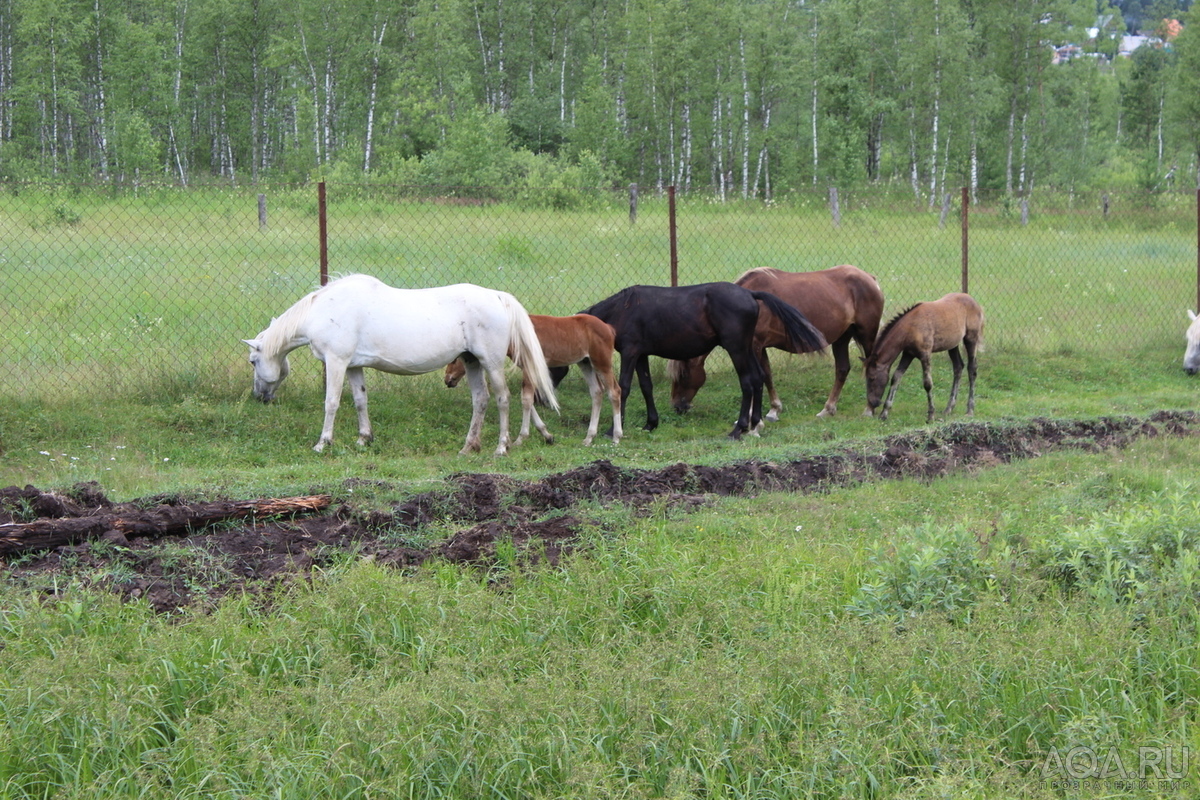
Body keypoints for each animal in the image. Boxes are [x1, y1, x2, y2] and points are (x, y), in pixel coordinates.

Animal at [247, 272, 561, 453]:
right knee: (481, 400)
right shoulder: (353, 366)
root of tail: (497, 296)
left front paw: (323, 443)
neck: (325, 309)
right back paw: (469, 446)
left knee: (502, 398)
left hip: (491, 362)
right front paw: (364, 438)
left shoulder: (336, 363)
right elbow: (360, 401)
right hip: (471, 362)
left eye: (252, 361)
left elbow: (332, 403)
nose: (259, 396)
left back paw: (501, 447)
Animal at [446, 311, 624, 448]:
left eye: (456, 360)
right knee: (597, 392)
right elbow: (527, 399)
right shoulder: (528, 369)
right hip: (585, 363)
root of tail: (609, 328)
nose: (448, 379)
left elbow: (526, 399)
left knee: (614, 391)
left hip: (602, 363)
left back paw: (616, 436)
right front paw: (547, 434)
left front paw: (520, 438)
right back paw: (589, 437)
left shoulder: (528, 368)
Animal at [580, 283, 825, 438]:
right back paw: (754, 425)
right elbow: (646, 387)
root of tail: (749, 294)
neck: (622, 309)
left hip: (736, 348)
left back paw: (739, 429)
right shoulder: (641, 355)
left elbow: (624, 387)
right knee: (757, 378)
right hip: (747, 348)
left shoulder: (630, 353)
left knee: (747, 382)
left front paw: (612, 430)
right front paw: (651, 424)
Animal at [667, 266, 883, 422]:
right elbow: (766, 376)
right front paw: (773, 411)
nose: (677, 406)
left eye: (683, 375)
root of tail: (870, 278)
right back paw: (828, 409)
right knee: (842, 370)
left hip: (867, 335)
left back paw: (869, 409)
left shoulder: (754, 346)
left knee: (873, 367)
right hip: (841, 338)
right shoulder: (759, 348)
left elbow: (756, 377)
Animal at [864, 291, 984, 422]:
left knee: (972, 369)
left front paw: (931, 414)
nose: (873, 402)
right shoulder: (908, 354)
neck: (910, 328)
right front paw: (884, 413)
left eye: (872, 378)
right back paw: (948, 408)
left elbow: (927, 383)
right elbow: (896, 377)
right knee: (958, 367)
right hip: (952, 345)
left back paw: (970, 410)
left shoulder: (925, 354)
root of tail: (973, 301)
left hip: (971, 338)